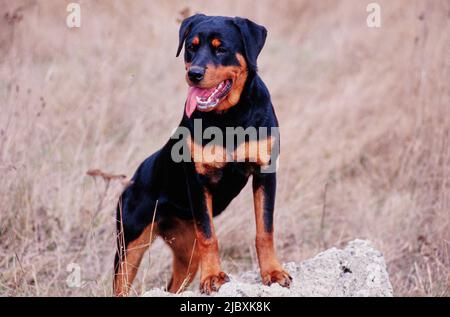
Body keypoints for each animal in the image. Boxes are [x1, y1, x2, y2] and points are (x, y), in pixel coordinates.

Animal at [110, 13, 290, 296]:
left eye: (221, 48)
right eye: (191, 47)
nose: (193, 73)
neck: (228, 117)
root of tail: (133, 179)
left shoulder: (265, 173)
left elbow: (265, 230)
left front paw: (273, 272)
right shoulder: (198, 180)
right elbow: (209, 235)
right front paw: (213, 277)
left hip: (186, 253)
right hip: (130, 242)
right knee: (121, 283)